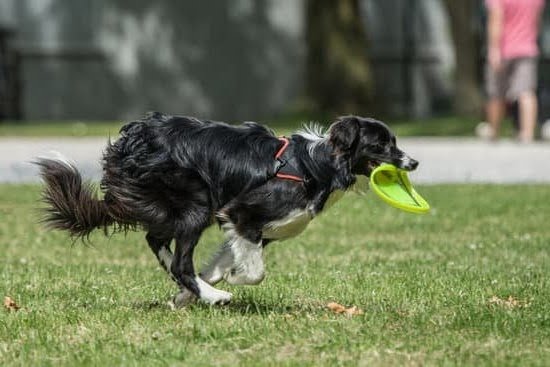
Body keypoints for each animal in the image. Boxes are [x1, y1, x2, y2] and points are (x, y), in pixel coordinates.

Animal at [35, 113, 418, 306]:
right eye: (381, 145)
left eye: (394, 141)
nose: (413, 163)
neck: (319, 165)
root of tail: (130, 142)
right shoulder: (242, 213)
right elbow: (254, 272)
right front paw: (226, 282)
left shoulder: (255, 229)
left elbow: (224, 259)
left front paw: (191, 291)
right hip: (197, 203)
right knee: (178, 259)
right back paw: (214, 296)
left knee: (157, 242)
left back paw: (193, 288)